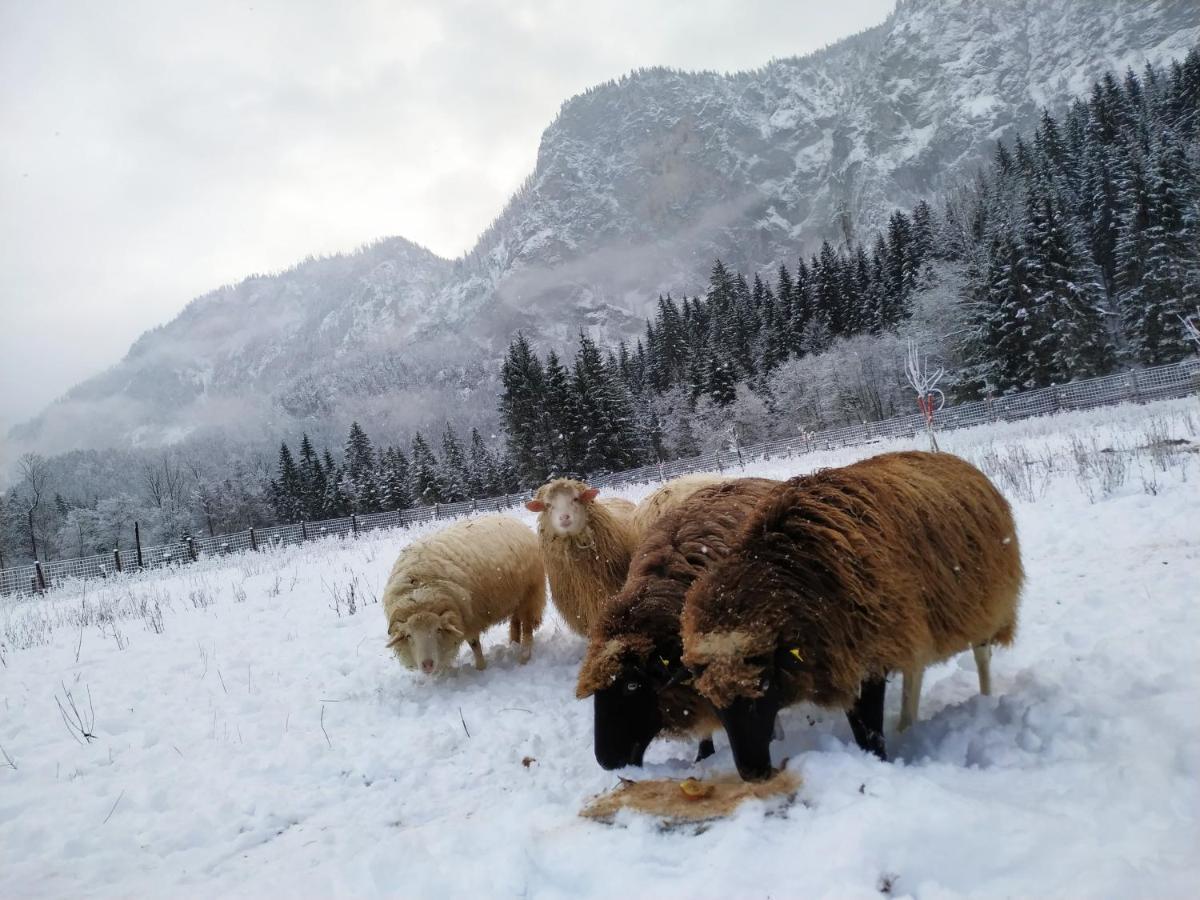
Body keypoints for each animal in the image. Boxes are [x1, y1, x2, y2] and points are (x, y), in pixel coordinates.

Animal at [381, 513, 547, 676]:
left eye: (438, 630)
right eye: (409, 635)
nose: (427, 665)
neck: (420, 589)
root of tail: (514, 520)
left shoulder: (469, 619)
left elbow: (475, 645)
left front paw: (480, 669)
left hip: (530, 593)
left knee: (527, 627)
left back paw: (524, 657)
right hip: (516, 597)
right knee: (515, 621)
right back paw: (513, 644)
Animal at [681, 453, 1027, 777]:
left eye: (764, 686)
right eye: (713, 704)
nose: (753, 773)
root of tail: (953, 459)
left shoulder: (866, 653)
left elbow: (868, 732)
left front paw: (879, 763)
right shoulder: (846, 654)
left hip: (983, 602)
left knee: (981, 657)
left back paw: (983, 699)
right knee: (915, 668)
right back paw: (907, 723)